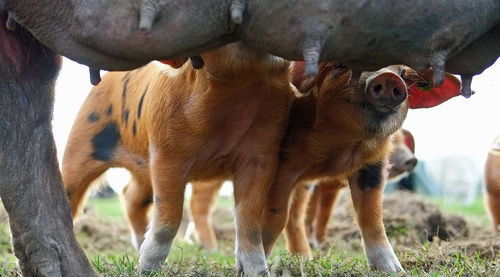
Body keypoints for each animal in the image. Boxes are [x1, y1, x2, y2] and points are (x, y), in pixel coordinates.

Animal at [61, 42, 292, 272]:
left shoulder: (263, 154)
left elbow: (249, 221)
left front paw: (259, 272)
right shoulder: (166, 152)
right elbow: (169, 216)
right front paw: (146, 270)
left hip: (143, 168)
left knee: (131, 196)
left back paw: (138, 247)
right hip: (82, 139)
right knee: (72, 189)